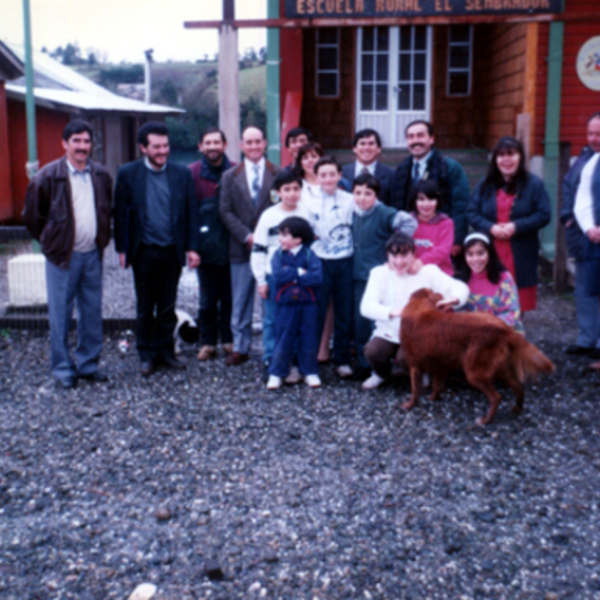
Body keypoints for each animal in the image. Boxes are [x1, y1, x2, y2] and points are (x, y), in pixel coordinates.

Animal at [400, 288, 556, 424]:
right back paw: (517, 408)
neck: (419, 306)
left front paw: (409, 404)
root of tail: (504, 329)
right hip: (501, 369)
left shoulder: (414, 366)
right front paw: (434, 397)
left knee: (496, 397)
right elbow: (437, 385)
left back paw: (486, 420)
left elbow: (415, 390)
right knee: (518, 387)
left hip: (475, 373)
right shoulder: (440, 365)